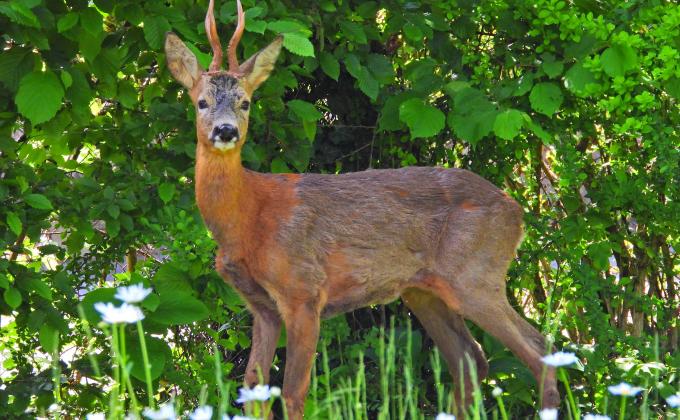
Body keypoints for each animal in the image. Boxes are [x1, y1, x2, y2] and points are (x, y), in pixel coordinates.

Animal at [163, 0, 556, 416]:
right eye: (201, 102)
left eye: (245, 102)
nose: (225, 131)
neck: (249, 219)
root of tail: (517, 211)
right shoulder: (262, 307)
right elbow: (254, 390)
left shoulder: (304, 290)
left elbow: (294, 392)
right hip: (425, 291)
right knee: (471, 359)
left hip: (476, 275)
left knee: (539, 350)